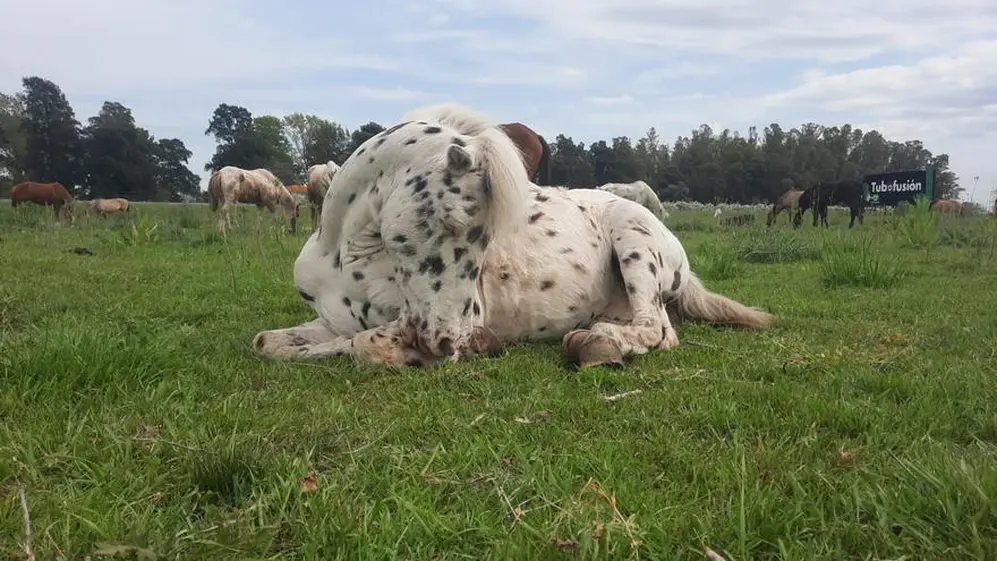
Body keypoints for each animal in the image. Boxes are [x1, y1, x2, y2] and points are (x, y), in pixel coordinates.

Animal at [252, 102, 773, 370]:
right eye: (452, 223)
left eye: (487, 239)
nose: (450, 342)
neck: (340, 256)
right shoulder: (332, 321)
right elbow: (268, 343)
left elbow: (365, 345)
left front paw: (472, 345)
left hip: (634, 241)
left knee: (657, 331)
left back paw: (595, 344)